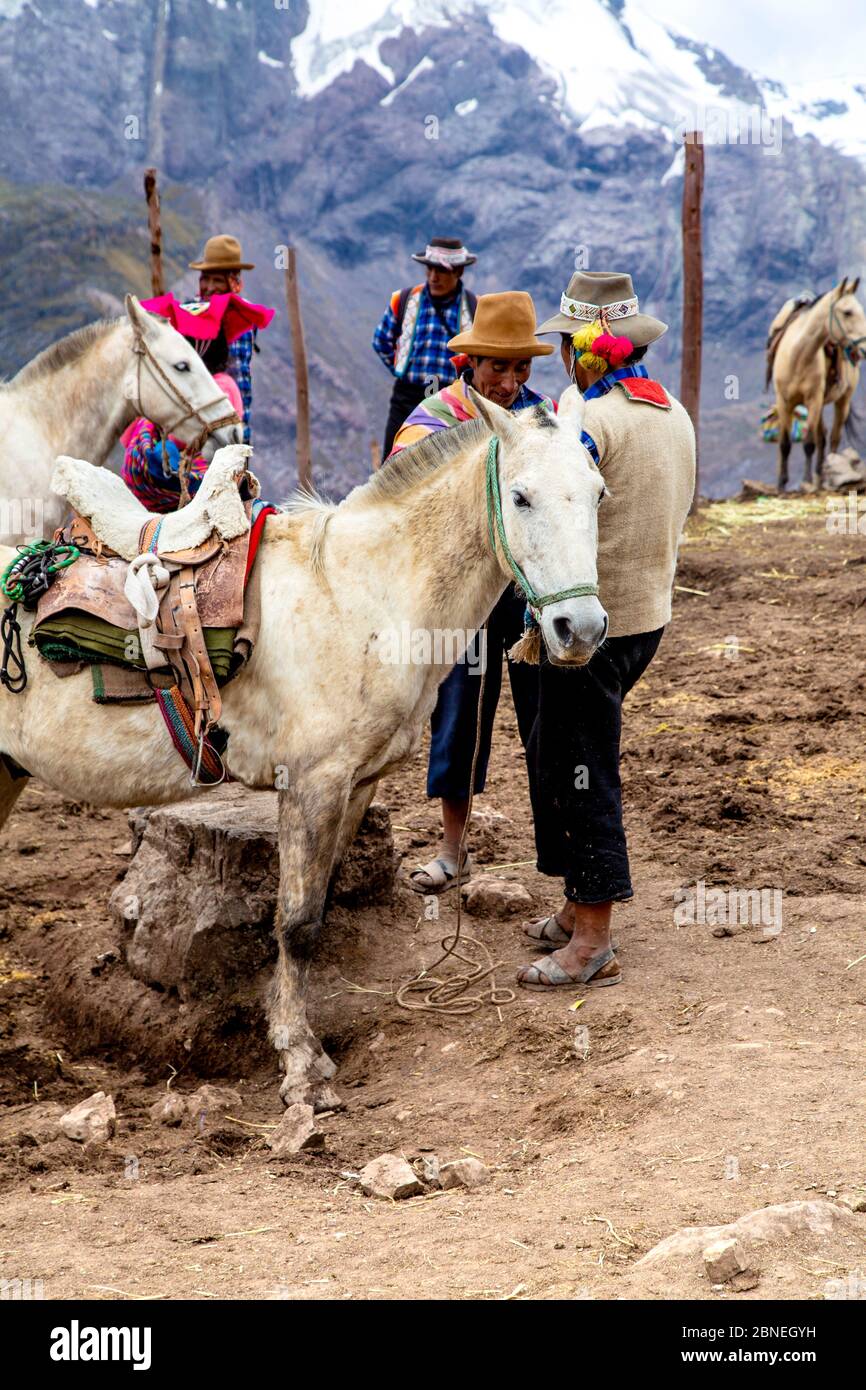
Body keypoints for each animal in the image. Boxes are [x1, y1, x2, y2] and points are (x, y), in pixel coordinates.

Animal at [0, 389, 606, 1106]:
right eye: (520, 497)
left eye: (598, 491)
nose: (581, 629)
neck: (360, 592)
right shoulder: (313, 783)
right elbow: (296, 923)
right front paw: (300, 1063)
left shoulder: (357, 783)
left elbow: (316, 907)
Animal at [767, 276, 861, 489]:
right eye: (847, 312)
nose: (863, 347)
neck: (798, 356)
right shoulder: (784, 401)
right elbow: (785, 443)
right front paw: (781, 484)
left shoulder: (813, 399)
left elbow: (809, 443)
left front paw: (806, 480)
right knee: (823, 435)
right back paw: (820, 476)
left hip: (843, 399)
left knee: (833, 437)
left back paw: (829, 474)